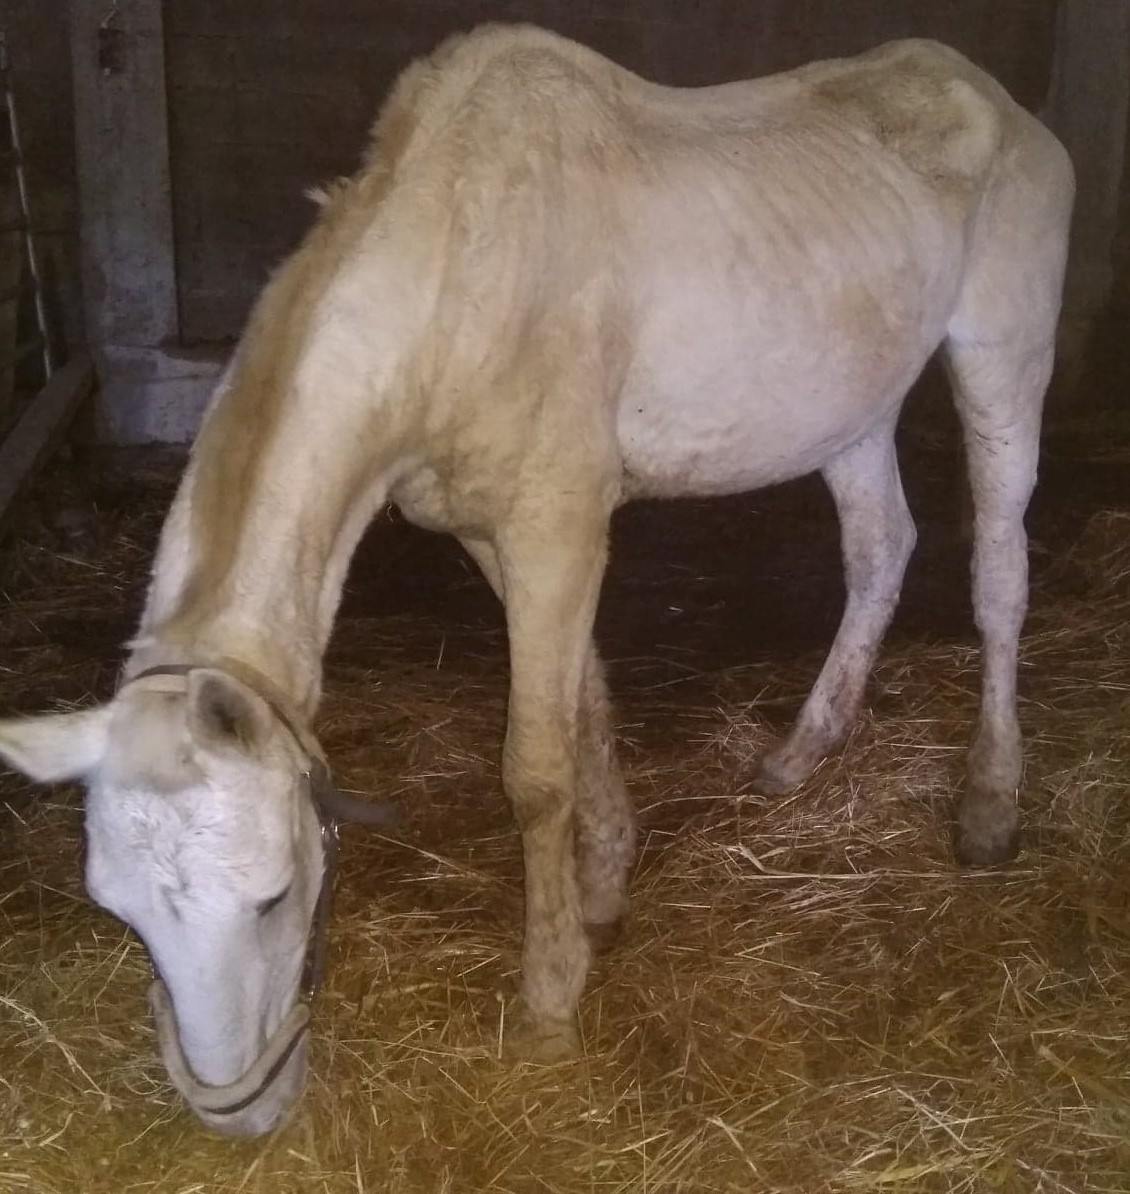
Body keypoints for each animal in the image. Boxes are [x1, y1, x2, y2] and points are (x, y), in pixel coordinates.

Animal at [0, 25, 1073, 1135]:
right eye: (120, 912)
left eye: (275, 893)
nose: (238, 1118)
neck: (458, 268)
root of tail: (990, 96)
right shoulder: (498, 534)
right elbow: (582, 702)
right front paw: (603, 884)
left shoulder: (556, 524)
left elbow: (535, 768)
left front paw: (551, 999)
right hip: (851, 406)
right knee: (878, 548)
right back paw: (797, 754)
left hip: (1001, 358)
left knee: (997, 574)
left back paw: (988, 807)